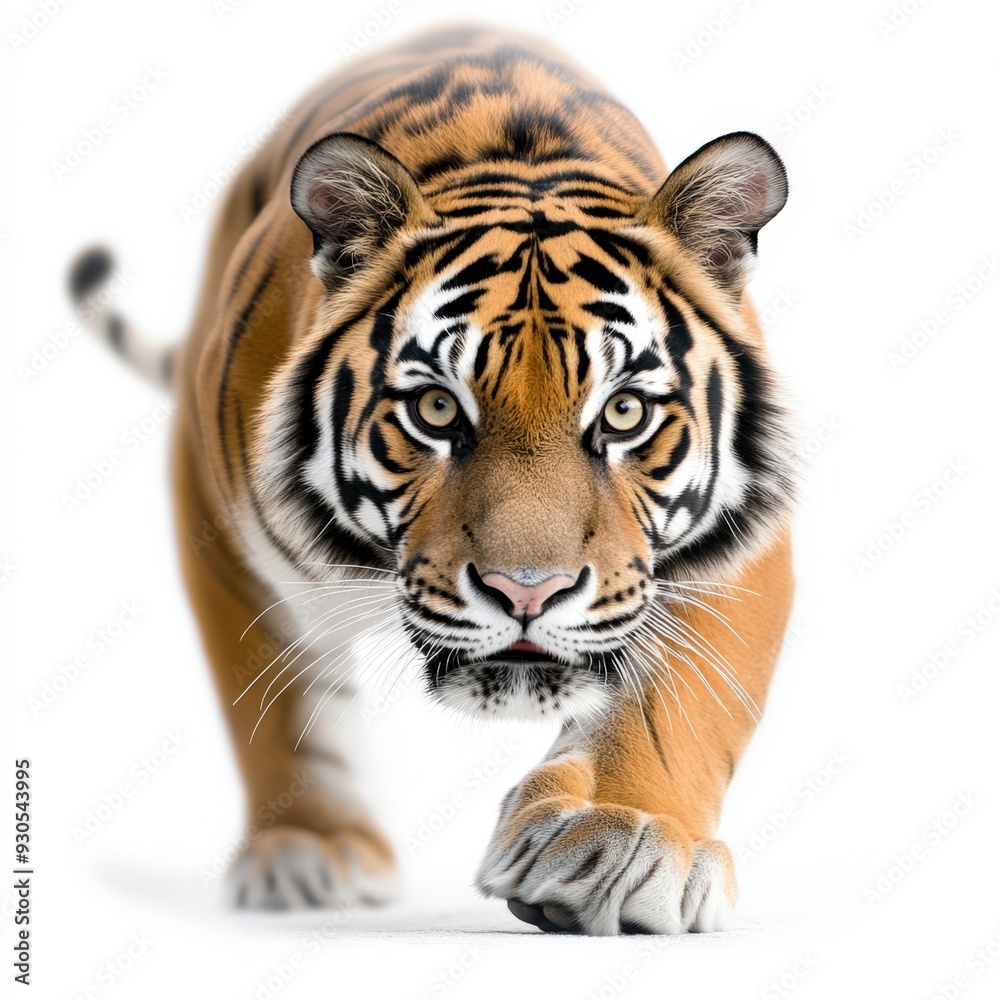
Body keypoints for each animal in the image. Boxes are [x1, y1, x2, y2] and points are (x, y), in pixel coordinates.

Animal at [69, 24, 796, 936]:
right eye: (437, 409)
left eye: (625, 411)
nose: (528, 591)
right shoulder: (218, 520)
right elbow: (278, 707)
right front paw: (311, 849)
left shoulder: (742, 538)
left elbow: (677, 701)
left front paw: (622, 834)